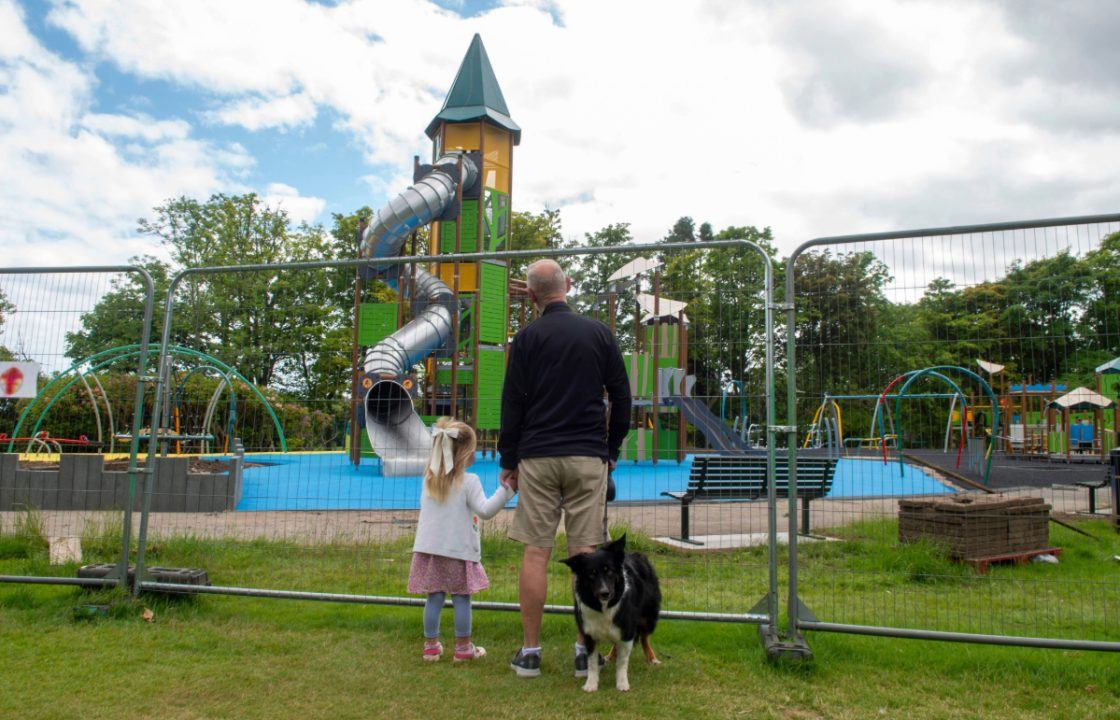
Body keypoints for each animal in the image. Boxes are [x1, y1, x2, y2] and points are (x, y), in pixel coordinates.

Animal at [557, 535, 654, 694]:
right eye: (591, 574)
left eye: (609, 571)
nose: (605, 593)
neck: (603, 607)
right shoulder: (589, 634)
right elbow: (591, 662)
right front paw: (591, 684)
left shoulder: (627, 631)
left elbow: (622, 662)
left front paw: (622, 684)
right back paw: (611, 655)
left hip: (647, 616)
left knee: (644, 637)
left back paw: (652, 658)